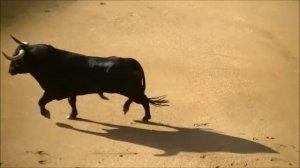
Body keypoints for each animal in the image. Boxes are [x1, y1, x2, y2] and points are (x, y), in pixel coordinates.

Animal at [3, 35, 169, 122]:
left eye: (18, 60)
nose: (9, 71)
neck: (47, 63)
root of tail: (130, 60)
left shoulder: (52, 92)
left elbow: (40, 102)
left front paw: (46, 114)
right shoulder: (71, 92)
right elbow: (72, 102)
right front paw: (72, 114)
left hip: (132, 90)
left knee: (144, 101)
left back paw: (145, 117)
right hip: (132, 90)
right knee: (141, 100)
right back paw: (130, 110)